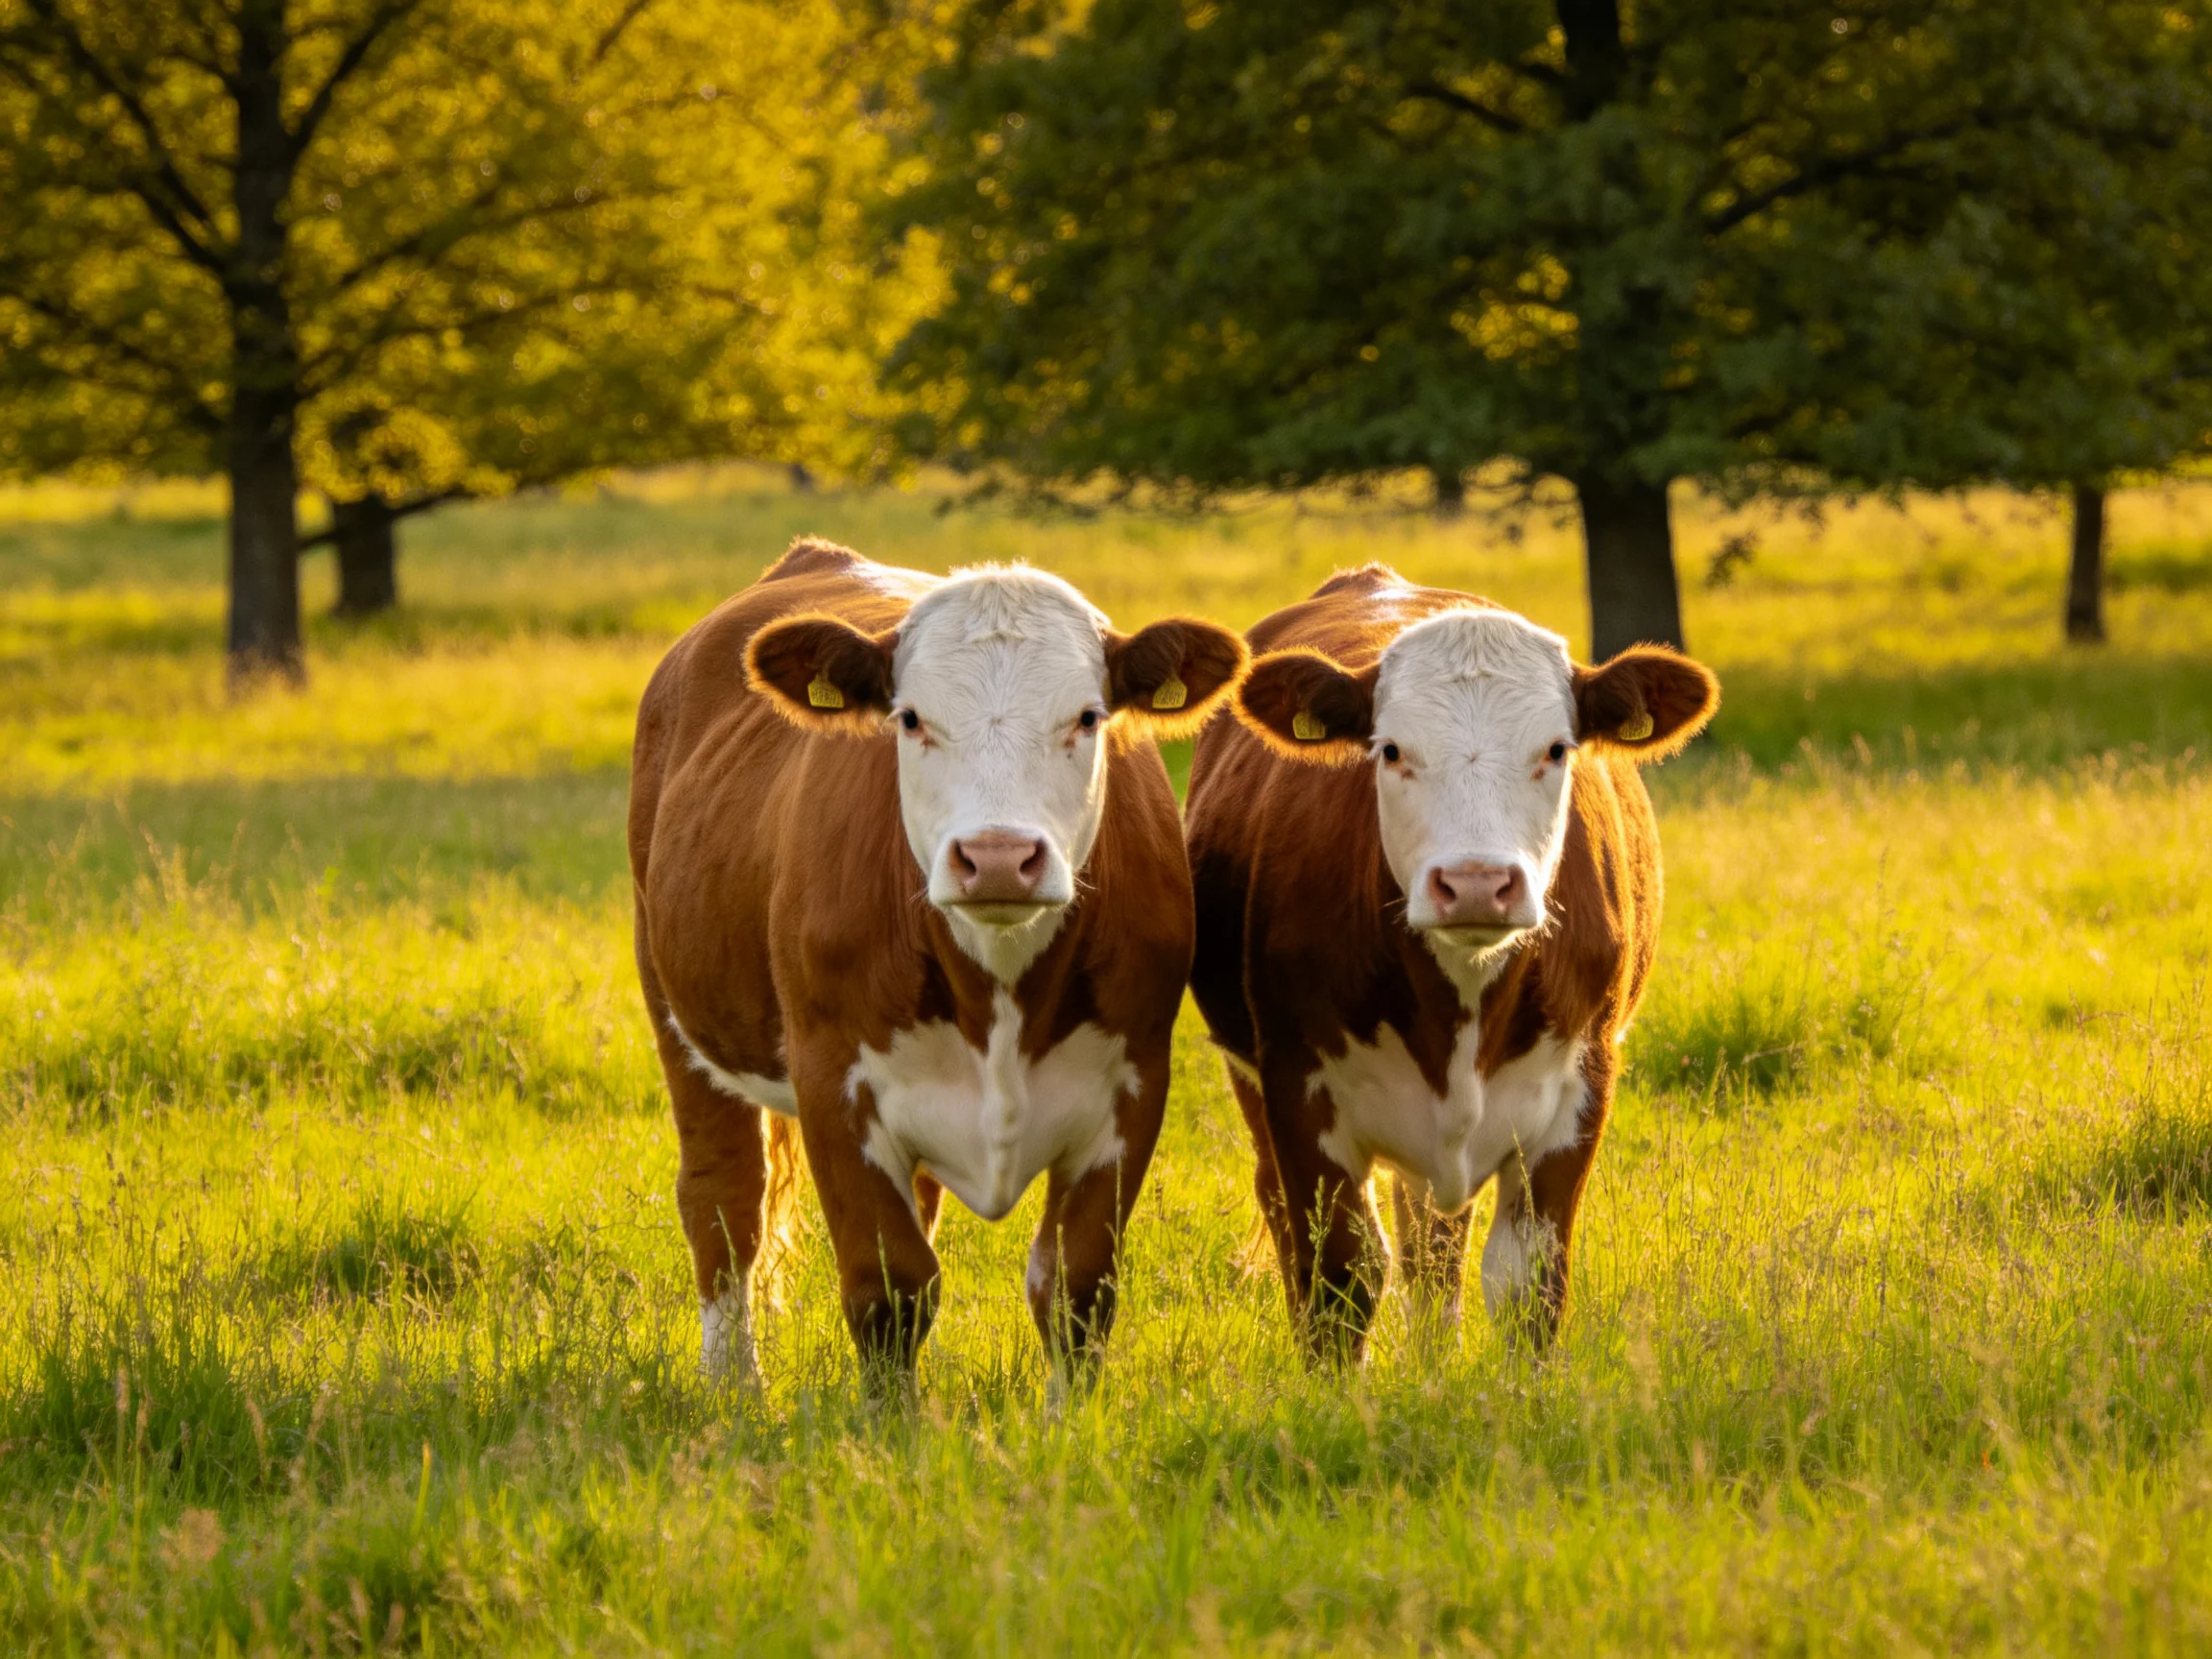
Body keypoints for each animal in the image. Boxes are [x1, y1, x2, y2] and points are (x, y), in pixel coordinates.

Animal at [629, 538, 1246, 1388]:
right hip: (677, 1011)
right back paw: (733, 1385)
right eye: (911, 718)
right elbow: (889, 1290)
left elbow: (1075, 1289)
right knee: (723, 1201)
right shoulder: (833, 1080)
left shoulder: (1135, 1081)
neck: (1000, 985)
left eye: (1087, 717)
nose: (997, 857)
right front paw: (892, 1422)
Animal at [1184, 565, 1718, 1360]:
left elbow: (1526, 1283)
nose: (1475, 882)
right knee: (1293, 1211)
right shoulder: (1296, 1085)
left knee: (1433, 1244)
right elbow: (1342, 1274)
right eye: (1390, 750)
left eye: (1557, 749)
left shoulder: (1580, 1088)